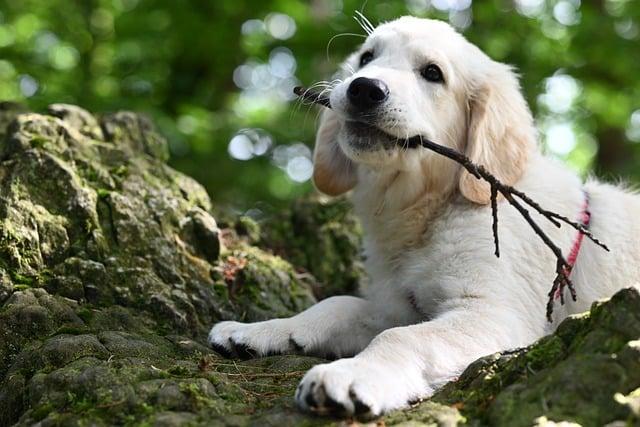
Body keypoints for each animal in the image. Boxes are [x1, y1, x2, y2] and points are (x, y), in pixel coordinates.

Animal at [208, 16, 636, 418]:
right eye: (367, 58)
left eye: (432, 73)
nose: (364, 88)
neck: (431, 209)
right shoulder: (399, 304)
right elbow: (338, 303)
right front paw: (261, 330)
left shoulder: (494, 314)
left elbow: (400, 336)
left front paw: (351, 375)